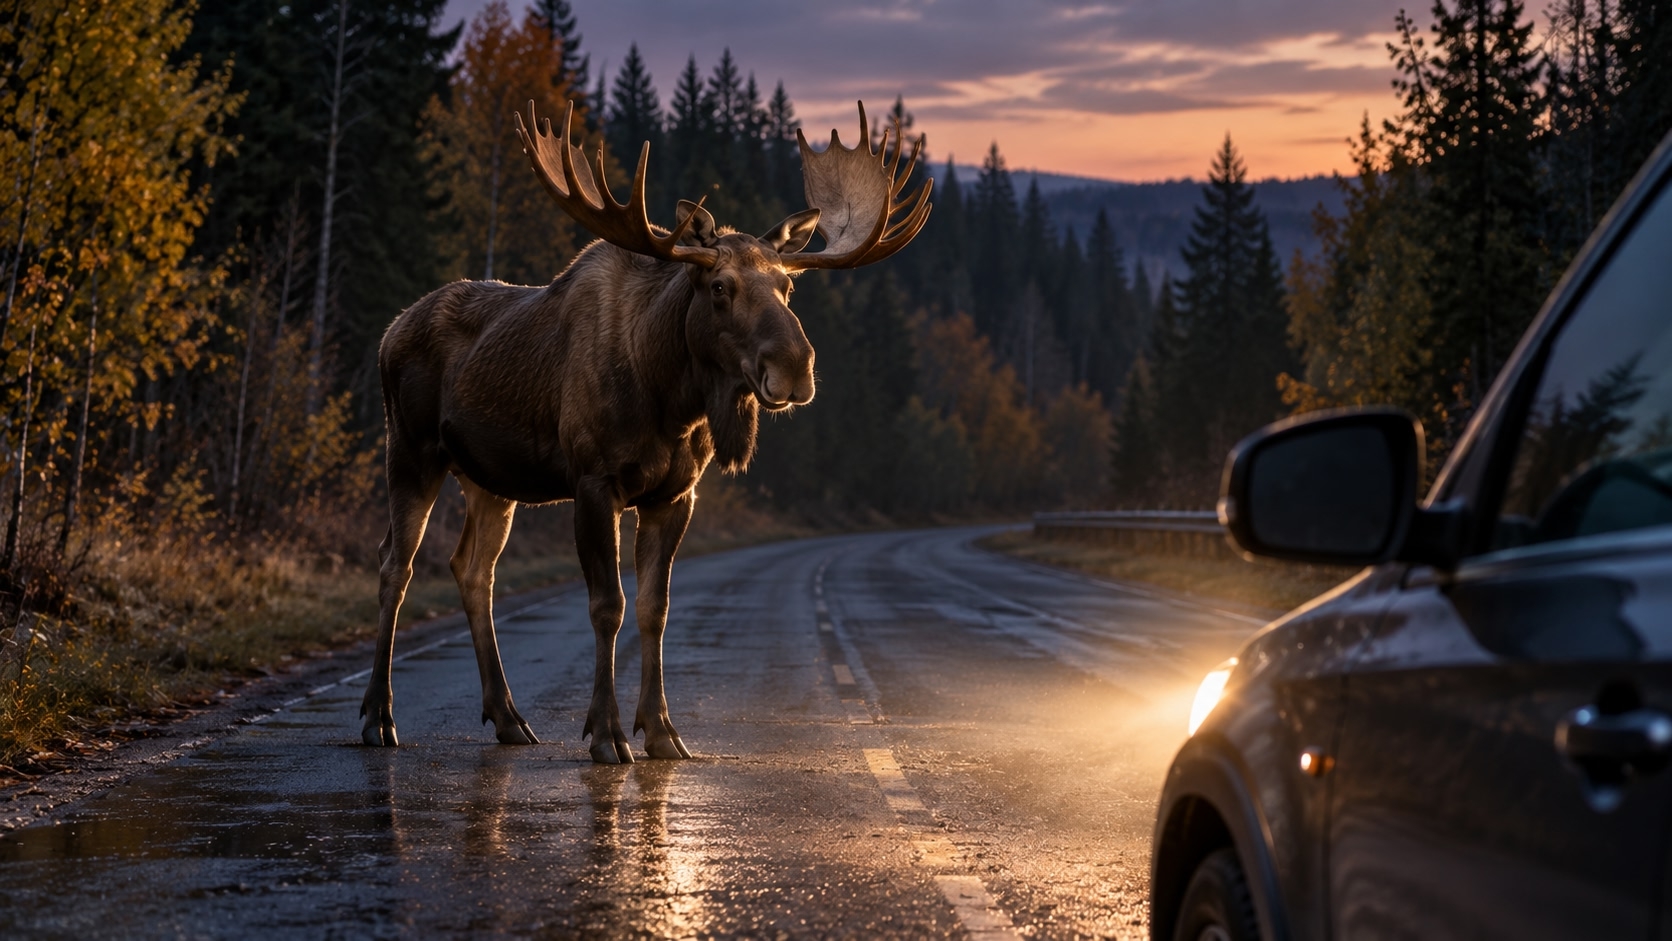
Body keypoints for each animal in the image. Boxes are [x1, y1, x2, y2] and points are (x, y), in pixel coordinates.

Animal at [360, 99, 931, 763]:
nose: (795, 368)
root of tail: (389, 332)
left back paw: (507, 716)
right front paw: (606, 733)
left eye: (788, 285)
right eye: (720, 287)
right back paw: (378, 718)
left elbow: (655, 608)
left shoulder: (674, 494)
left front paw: (661, 730)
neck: (669, 401)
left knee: (472, 570)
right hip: (411, 449)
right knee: (394, 565)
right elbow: (608, 605)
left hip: (490, 480)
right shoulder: (593, 481)